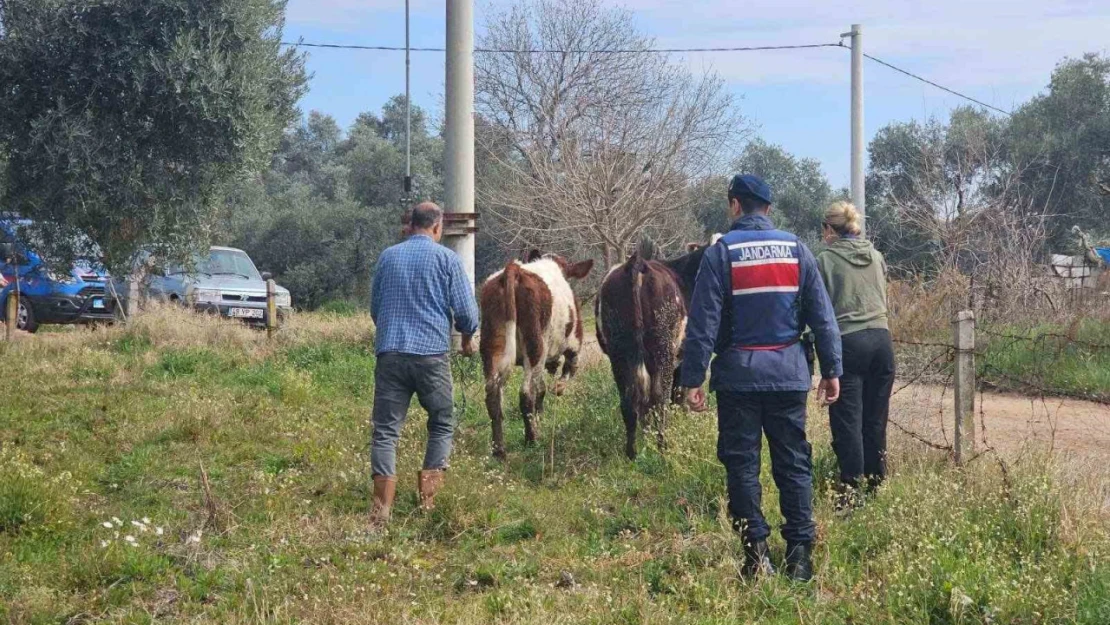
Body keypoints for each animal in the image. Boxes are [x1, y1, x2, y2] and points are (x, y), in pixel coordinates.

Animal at [481, 250, 594, 459]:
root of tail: (514, 269)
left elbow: (541, 388)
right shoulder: (574, 346)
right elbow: (566, 374)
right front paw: (558, 389)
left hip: (491, 346)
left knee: (493, 395)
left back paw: (499, 450)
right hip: (535, 347)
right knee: (525, 394)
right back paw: (531, 439)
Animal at [599, 239, 719, 459]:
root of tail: (636, 263)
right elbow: (677, 395)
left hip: (619, 354)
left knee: (631, 402)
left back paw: (633, 453)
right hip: (663, 351)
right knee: (660, 399)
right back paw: (663, 448)